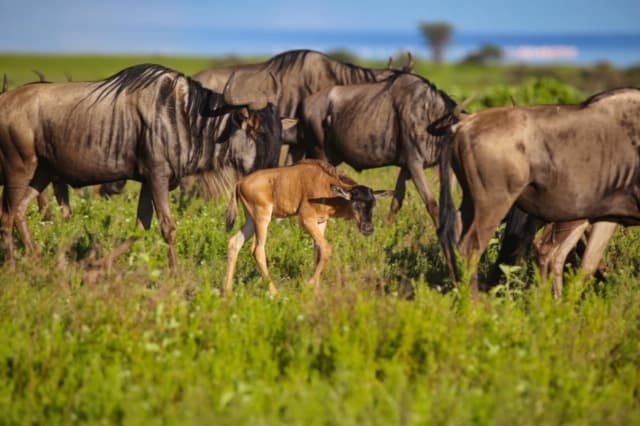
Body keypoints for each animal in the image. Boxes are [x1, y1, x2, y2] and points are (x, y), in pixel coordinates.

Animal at [0, 63, 288, 268]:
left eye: (279, 137)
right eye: (257, 132)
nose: (272, 182)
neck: (186, 117)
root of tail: (5, 102)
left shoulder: (151, 181)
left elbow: (141, 227)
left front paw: (97, 265)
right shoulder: (158, 176)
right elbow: (168, 227)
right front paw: (175, 274)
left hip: (42, 172)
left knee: (20, 212)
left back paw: (36, 259)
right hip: (19, 168)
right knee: (7, 214)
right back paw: (13, 267)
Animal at [224, 159, 392, 296]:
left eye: (373, 204)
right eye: (356, 203)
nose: (368, 229)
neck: (326, 185)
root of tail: (240, 183)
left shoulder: (321, 222)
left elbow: (318, 252)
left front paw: (316, 292)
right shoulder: (306, 220)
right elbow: (327, 249)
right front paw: (308, 286)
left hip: (251, 220)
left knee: (234, 242)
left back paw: (227, 292)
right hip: (262, 218)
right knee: (258, 250)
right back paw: (275, 292)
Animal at [299, 72, 457, 225]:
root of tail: (304, 103)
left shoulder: (406, 167)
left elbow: (396, 202)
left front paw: (387, 230)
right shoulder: (415, 164)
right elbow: (431, 203)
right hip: (321, 155)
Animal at [438, 87, 640, 297]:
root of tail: (462, 126)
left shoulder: (608, 217)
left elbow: (587, 265)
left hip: (471, 204)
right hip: (493, 207)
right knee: (471, 249)